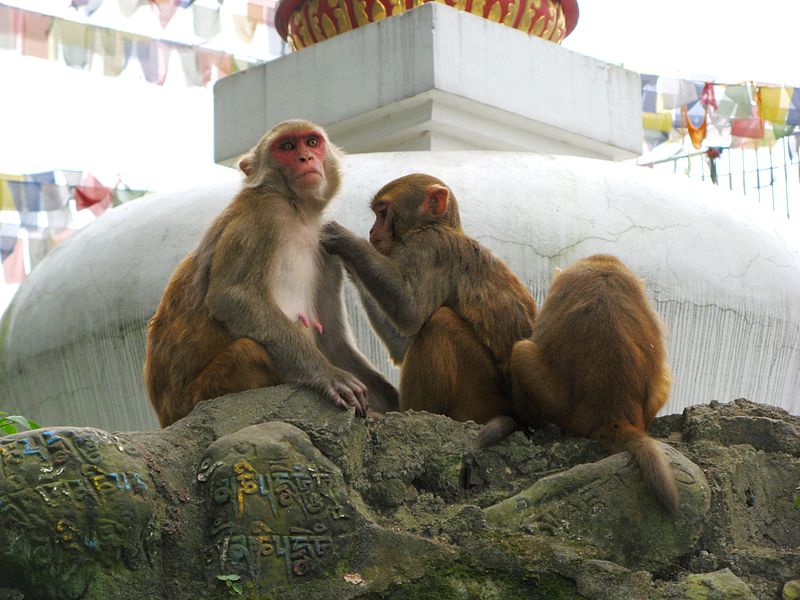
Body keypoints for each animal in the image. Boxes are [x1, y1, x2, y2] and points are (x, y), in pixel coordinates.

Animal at [145, 118, 400, 426]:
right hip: (197, 396)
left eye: (312, 142)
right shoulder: (263, 214)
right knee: (249, 351)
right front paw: (329, 376)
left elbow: (333, 340)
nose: (306, 158)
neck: (297, 212)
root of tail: (165, 415)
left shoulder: (326, 250)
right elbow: (233, 297)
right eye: (287, 147)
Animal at [318, 171, 536, 442]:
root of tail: (522, 420)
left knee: (441, 323)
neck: (437, 225)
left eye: (382, 212)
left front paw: (343, 239)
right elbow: (402, 345)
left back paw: (411, 414)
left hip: (481, 400)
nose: (372, 230)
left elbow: (410, 312)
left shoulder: (428, 246)